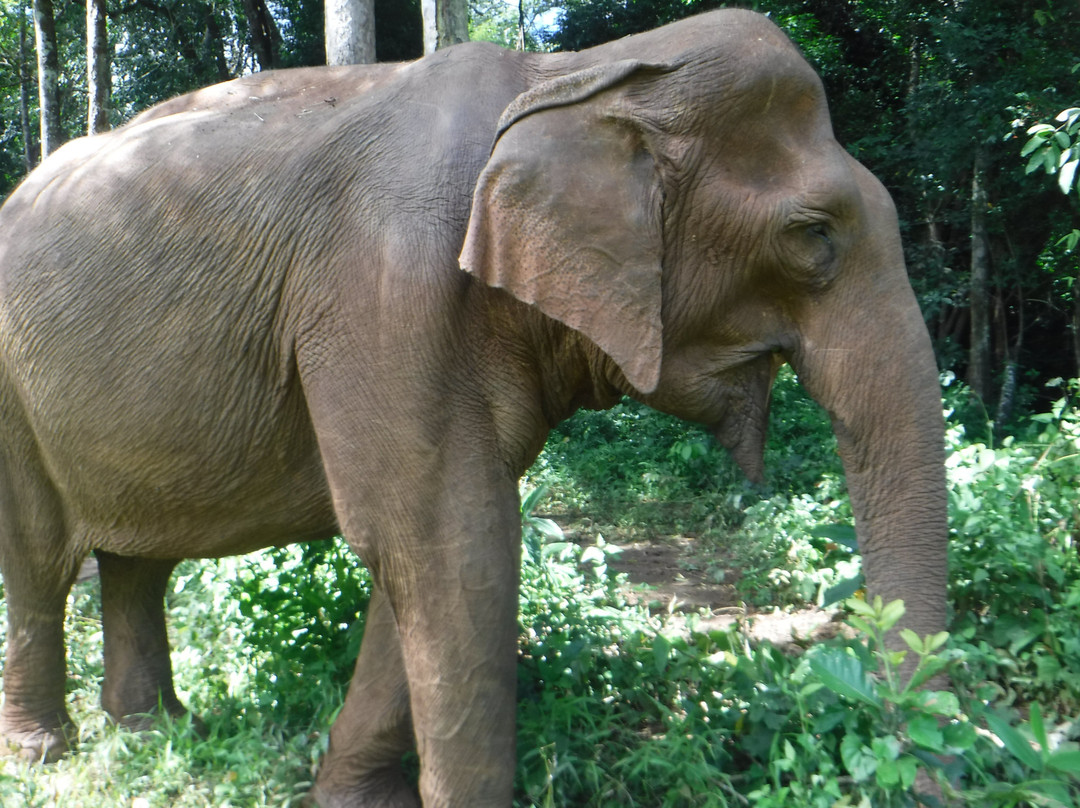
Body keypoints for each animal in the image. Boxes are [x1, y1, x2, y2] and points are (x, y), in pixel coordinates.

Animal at [0, 8, 947, 807]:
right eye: (813, 238)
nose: (938, 771)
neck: (578, 74)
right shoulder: (386, 287)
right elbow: (450, 543)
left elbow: (425, 549)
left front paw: (349, 796)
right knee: (41, 560)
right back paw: (48, 751)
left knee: (137, 561)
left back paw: (154, 732)